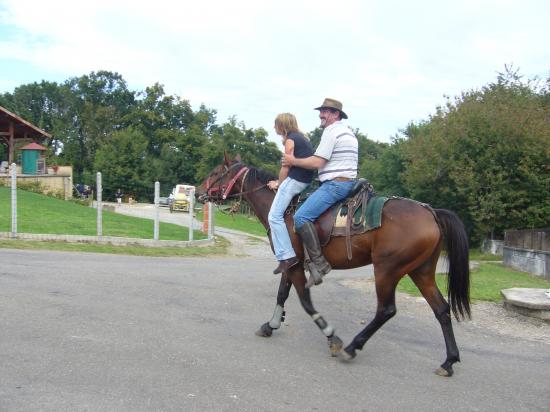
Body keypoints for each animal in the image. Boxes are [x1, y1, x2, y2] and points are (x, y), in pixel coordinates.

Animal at [196, 154, 472, 376]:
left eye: (216, 173)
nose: (198, 192)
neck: (284, 210)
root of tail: (431, 212)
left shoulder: (294, 267)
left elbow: (306, 302)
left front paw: (332, 337)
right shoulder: (291, 262)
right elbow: (282, 294)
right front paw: (271, 325)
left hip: (387, 270)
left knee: (386, 310)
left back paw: (351, 347)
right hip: (420, 272)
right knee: (442, 309)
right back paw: (449, 361)